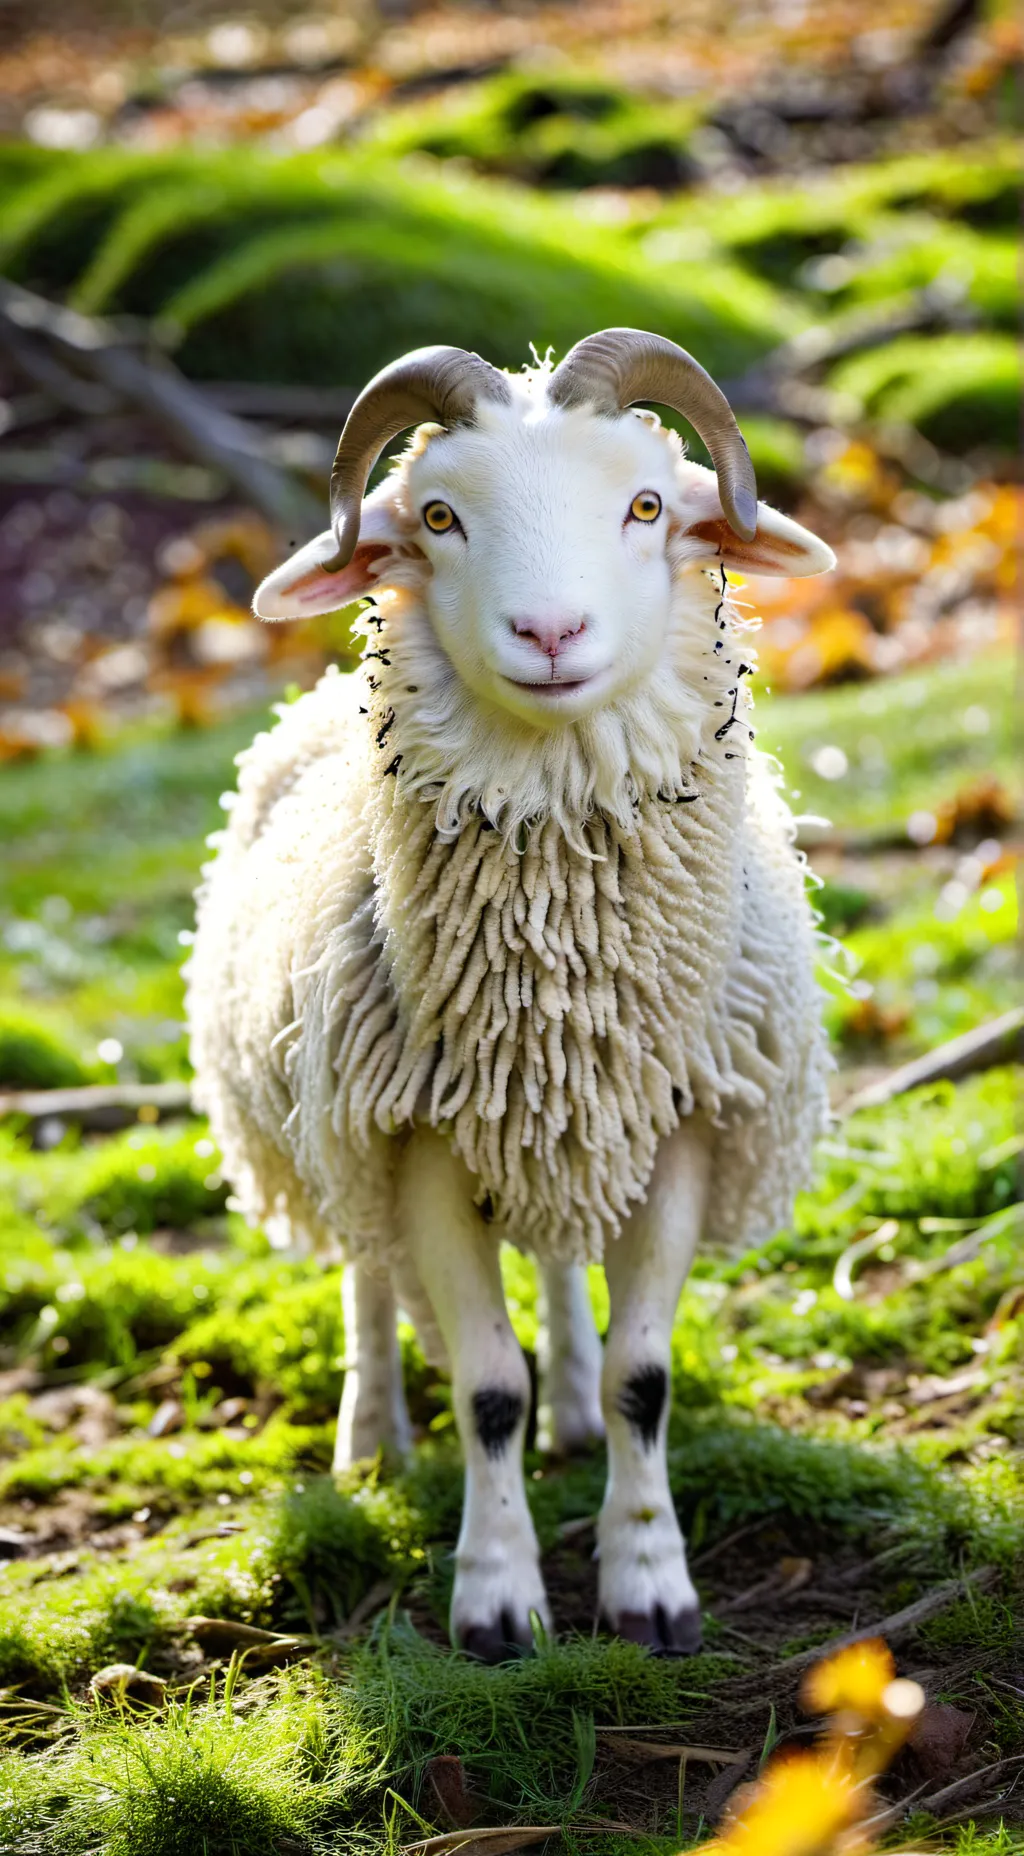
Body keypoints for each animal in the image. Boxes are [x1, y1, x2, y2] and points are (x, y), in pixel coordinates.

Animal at [187, 328, 836, 1660]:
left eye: (647, 504)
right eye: (438, 515)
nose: (549, 630)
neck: (559, 983)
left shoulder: (676, 1122)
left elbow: (646, 1371)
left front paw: (649, 1579)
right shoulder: (419, 1141)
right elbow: (487, 1386)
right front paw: (495, 1599)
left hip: (556, 1135)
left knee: (559, 1265)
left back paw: (575, 1406)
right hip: (334, 1118)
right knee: (367, 1273)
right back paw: (372, 1436)